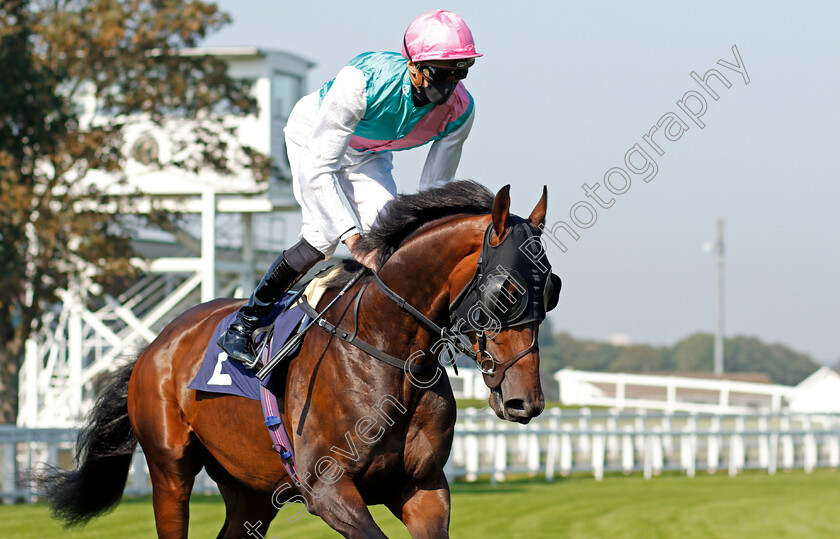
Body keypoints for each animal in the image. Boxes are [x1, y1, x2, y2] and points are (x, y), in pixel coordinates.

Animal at [37, 184, 556, 536]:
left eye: (552, 289)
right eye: (507, 290)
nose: (524, 401)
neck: (388, 351)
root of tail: (155, 345)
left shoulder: (423, 486)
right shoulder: (326, 489)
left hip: (251, 489)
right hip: (170, 471)